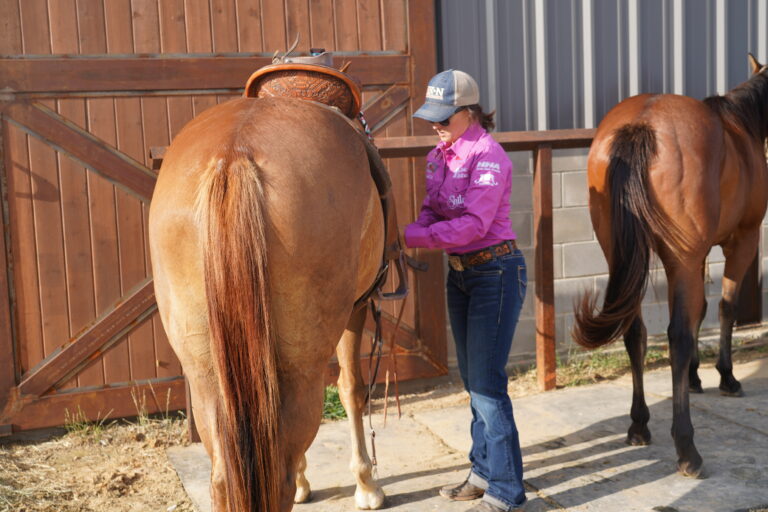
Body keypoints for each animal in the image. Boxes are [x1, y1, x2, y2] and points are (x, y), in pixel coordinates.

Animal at [148, 96, 390, 511]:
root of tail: (233, 156)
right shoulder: (355, 310)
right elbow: (352, 389)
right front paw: (366, 484)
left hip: (206, 374)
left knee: (225, 477)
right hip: (301, 366)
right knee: (277, 472)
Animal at [573, 54, 768, 477]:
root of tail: (641, 126)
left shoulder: (699, 255)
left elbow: (701, 312)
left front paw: (695, 377)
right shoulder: (742, 240)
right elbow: (724, 309)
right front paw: (726, 377)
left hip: (625, 256)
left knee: (635, 332)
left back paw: (638, 425)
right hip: (682, 257)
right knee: (676, 334)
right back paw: (687, 448)